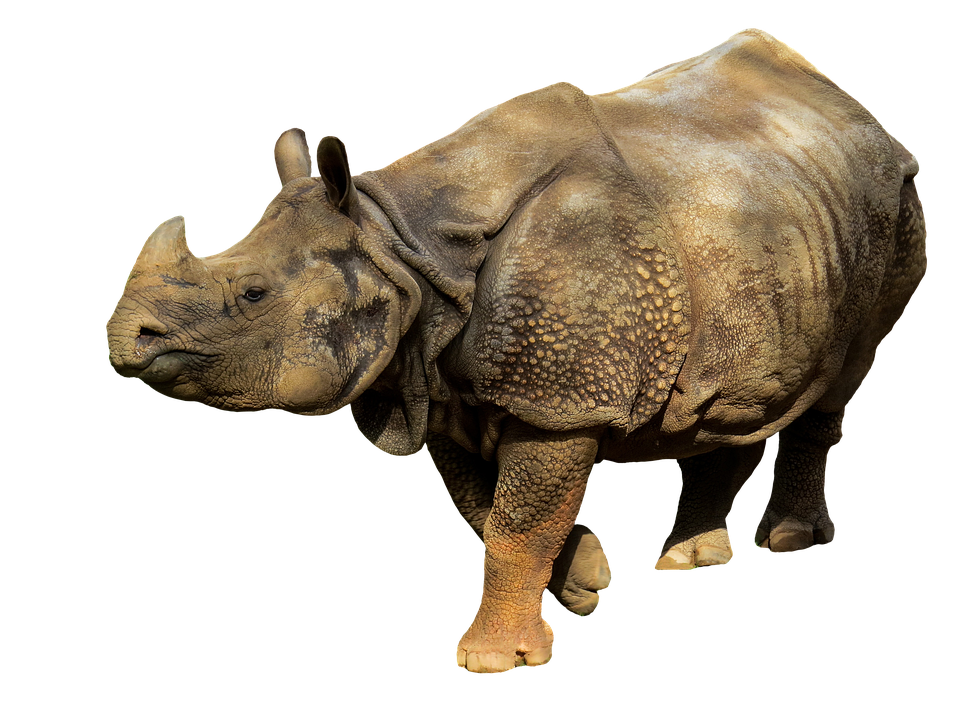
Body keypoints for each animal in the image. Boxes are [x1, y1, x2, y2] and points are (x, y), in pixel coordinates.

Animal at [106, 28, 926, 673]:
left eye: (251, 295)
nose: (124, 340)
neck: (402, 250)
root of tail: (856, 110)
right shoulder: (439, 387)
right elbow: (487, 510)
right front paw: (587, 582)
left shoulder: (560, 397)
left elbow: (516, 520)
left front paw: (493, 660)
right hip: (766, 228)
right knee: (730, 397)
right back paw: (689, 561)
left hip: (895, 208)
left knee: (845, 375)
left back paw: (789, 543)